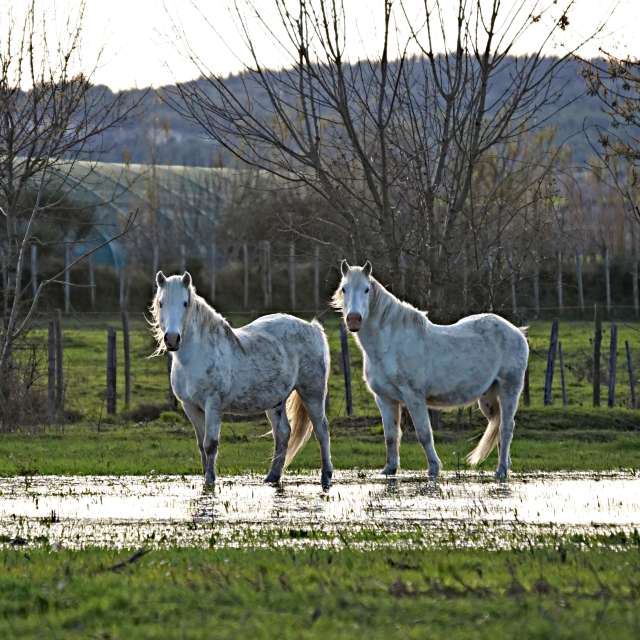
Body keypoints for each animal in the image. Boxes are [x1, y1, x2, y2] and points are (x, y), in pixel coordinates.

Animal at [150, 271, 333, 489]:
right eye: (161, 303)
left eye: (185, 303)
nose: (172, 339)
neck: (195, 355)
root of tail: (312, 328)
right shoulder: (190, 406)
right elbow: (201, 446)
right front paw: (206, 480)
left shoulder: (213, 405)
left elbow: (210, 444)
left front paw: (210, 482)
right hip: (275, 401)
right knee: (283, 433)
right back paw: (272, 477)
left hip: (312, 393)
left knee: (321, 430)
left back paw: (326, 477)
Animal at [333, 260, 529, 480]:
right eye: (344, 288)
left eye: (366, 289)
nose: (354, 320)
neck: (389, 343)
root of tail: (517, 332)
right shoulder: (384, 398)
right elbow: (391, 436)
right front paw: (389, 469)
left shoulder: (414, 397)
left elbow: (424, 434)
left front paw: (434, 468)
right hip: (488, 397)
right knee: (500, 426)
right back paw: (506, 465)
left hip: (509, 389)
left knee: (506, 428)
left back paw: (501, 470)